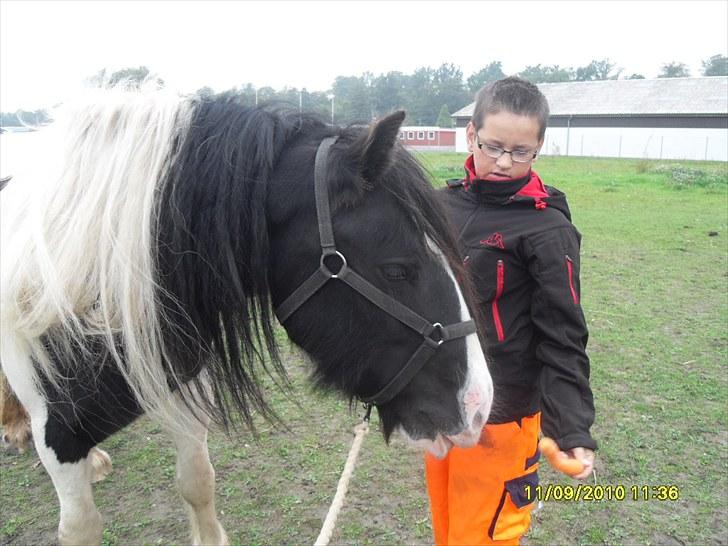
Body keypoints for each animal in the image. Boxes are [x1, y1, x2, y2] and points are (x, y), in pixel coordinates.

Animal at [0, 87, 492, 540]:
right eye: (397, 270)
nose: (478, 406)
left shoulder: (183, 391)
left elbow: (198, 482)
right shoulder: (59, 438)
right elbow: (80, 525)